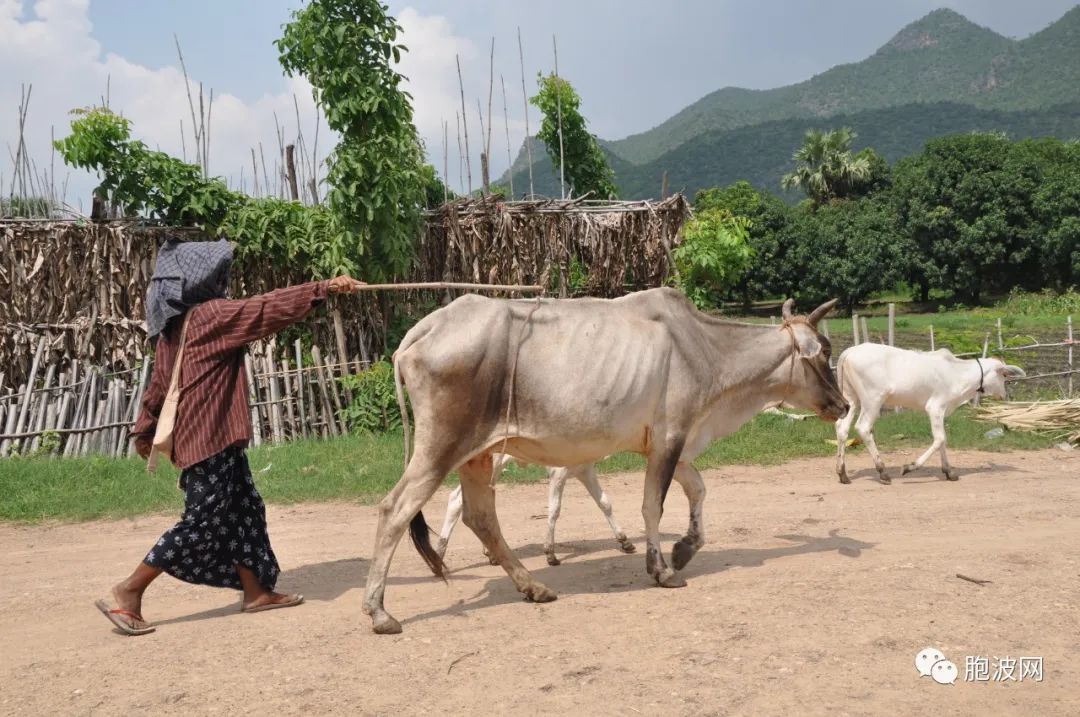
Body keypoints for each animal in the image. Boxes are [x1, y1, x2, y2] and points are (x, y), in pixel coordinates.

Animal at [436, 460, 635, 565]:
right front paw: (550, 553)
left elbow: (605, 503)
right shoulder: (558, 473)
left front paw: (625, 541)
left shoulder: (585, 470)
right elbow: (554, 510)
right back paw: (440, 552)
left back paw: (489, 552)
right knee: (457, 500)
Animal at [829, 341, 1023, 481]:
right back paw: (882, 471)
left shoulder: (941, 411)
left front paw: (949, 472)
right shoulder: (935, 407)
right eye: (1004, 375)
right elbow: (939, 439)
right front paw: (909, 467)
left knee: (842, 428)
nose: (1004, 395)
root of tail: (850, 351)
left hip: (851, 398)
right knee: (863, 428)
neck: (957, 373)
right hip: (873, 400)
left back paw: (842, 473)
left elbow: (943, 439)